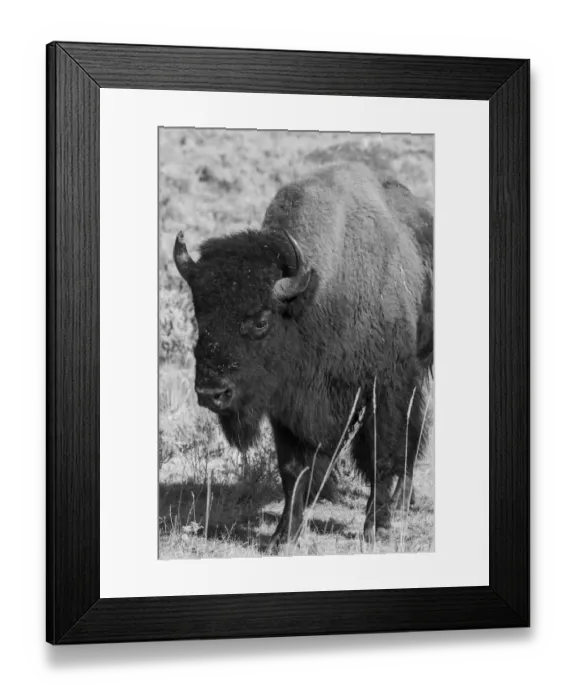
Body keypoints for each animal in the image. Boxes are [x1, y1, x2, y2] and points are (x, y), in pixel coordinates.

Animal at [174, 161, 433, 549]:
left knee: (412, 434)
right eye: (198, 315)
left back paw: (400, 503)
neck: (316, 296)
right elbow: (293, 468)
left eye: (261, 321)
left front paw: (376, 529)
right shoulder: (287, 400)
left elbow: (381, 453)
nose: (211, 393)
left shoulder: (386, 389)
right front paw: (283, 536)